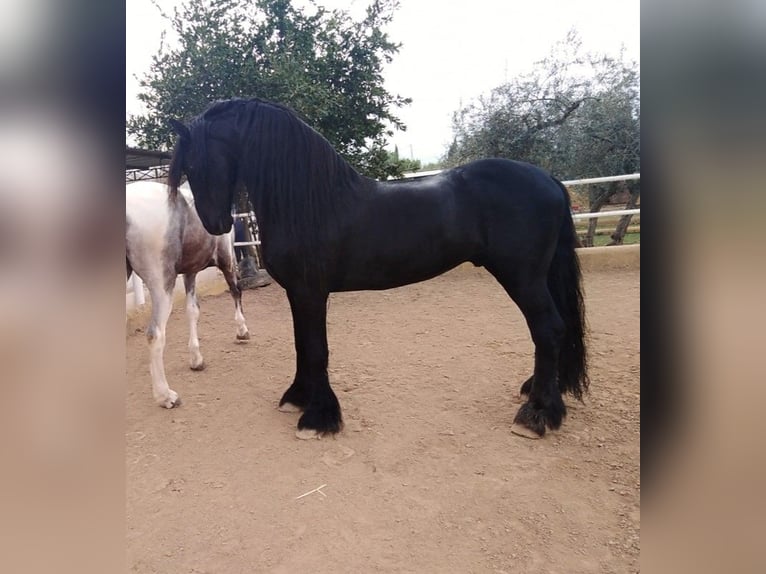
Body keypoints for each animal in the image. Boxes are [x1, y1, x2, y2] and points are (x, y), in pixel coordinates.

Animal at [126, 180, 250, 408]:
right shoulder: (227, 258)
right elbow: (236, 291)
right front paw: (242, 331)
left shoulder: (190, 272)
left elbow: (192, 311)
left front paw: (196, 360)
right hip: (162, 283)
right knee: (155, 334)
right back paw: (166, 396)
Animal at [167, 97, 588, 440]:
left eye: (194, 163)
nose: (216, 224)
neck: (311, 203)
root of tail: (548, 180)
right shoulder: (298, 293)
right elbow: (302, 345)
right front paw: (298, 398)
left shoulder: (310, 291)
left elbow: (316, 349)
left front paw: (319, 418)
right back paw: (543, 394)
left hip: (522, 277)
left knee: (548, 329)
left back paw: (536, 415)